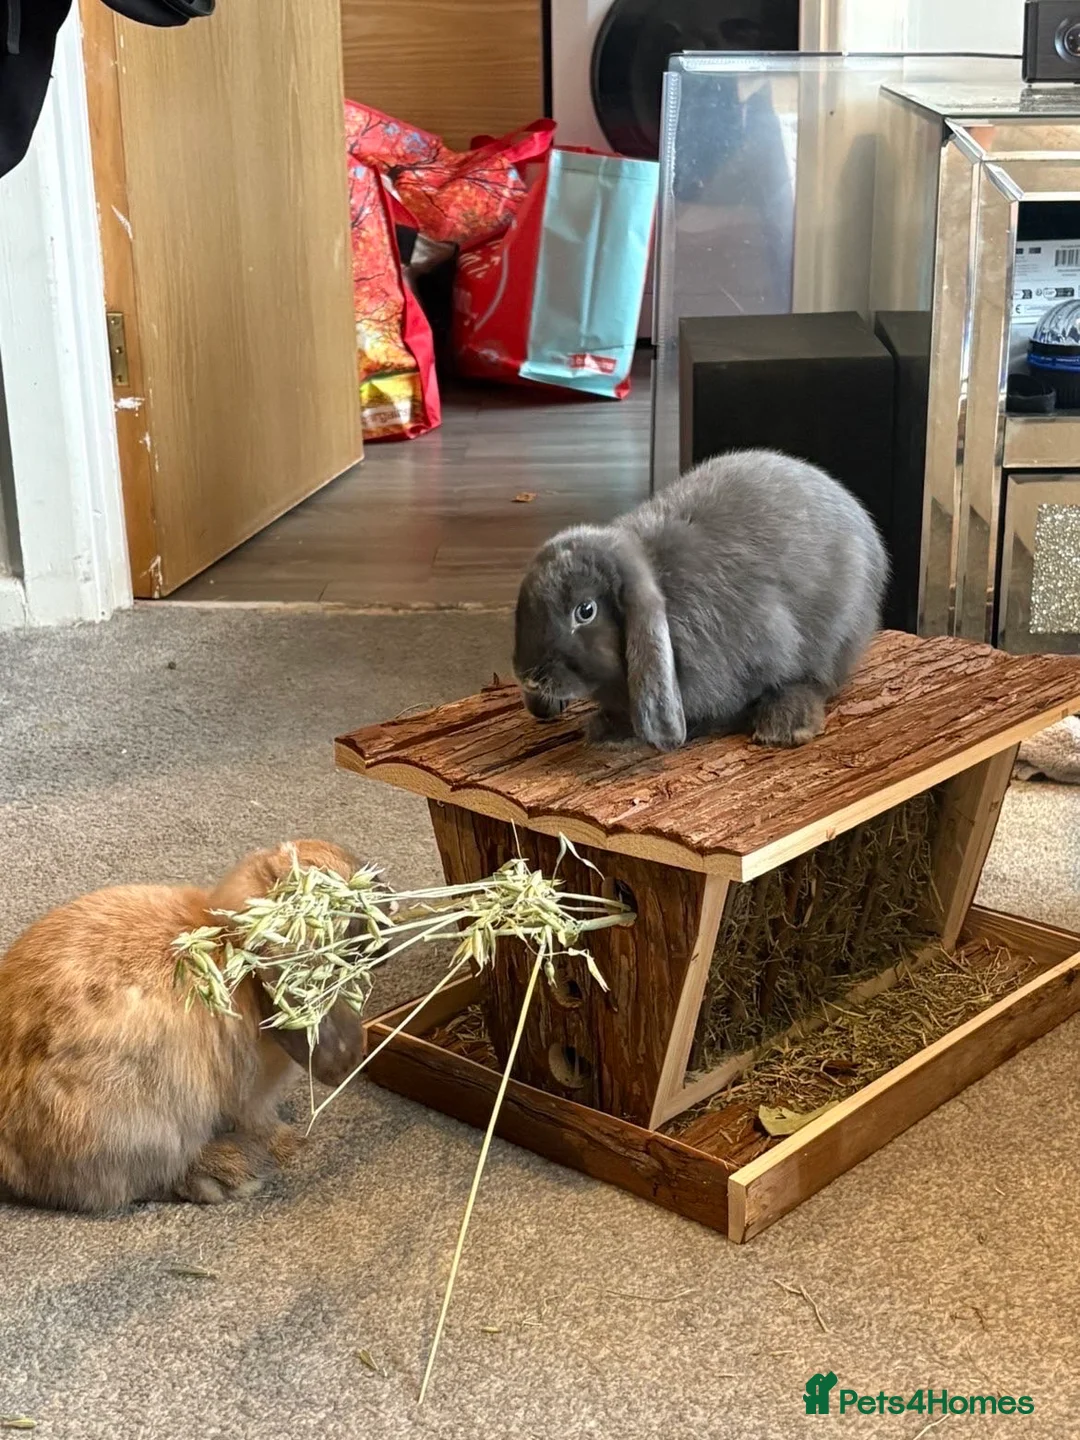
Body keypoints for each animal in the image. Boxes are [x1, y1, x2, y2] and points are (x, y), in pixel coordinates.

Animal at [513, 449, 888, 752]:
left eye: (585, 611)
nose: (529, 677)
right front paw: (606, 728)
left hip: (839, 635)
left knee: (816, 681)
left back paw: (784, 727)